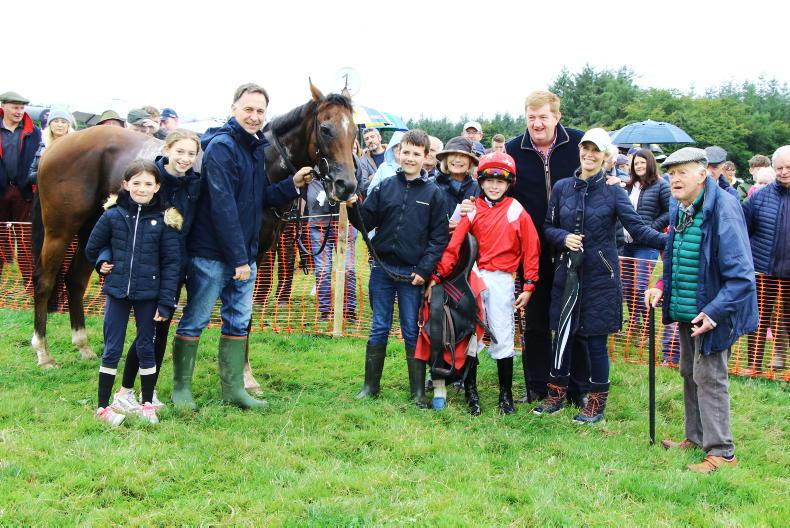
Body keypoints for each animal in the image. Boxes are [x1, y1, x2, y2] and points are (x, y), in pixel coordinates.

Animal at [31, 81, 357, 369]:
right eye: (326, 129)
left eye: (354, 131)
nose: (347, 185)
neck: (262, 166)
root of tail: (57, 145)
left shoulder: (259, 253)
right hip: (60, 230)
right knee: (45, 281)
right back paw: (43, 353)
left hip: (93, 230)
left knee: (74, 280)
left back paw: (83, 345)